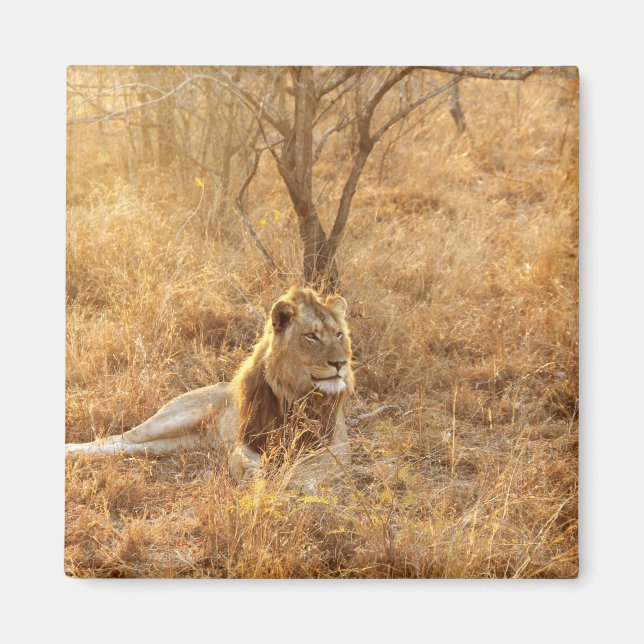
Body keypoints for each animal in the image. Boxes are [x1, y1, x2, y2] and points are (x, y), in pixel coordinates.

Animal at [65, 286, 354, 488]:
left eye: (339, 334)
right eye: (311, 336)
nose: (340, 363)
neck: (296, 393)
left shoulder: (336, 446)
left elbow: (310, 469)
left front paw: (293, 484)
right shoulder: (247, 440)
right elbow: (240, 461)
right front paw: (253, 479)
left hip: (181, 443)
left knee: (132, 447)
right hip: (175, 417)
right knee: (119, 438)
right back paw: (72, 450)